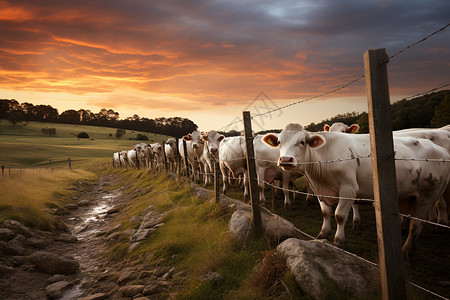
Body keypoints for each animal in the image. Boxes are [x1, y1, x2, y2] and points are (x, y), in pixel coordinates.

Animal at [262, 123, 450, 254]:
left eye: (302, 142)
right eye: (279, 142)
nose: (285, 160)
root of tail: (442, 151)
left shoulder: (348, 189)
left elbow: (339, 215)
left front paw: (338, 240)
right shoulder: (321, 191)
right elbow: (325, 213)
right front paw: (323, 234)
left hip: (427, 195)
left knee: (416, 224)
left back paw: (407, 249)